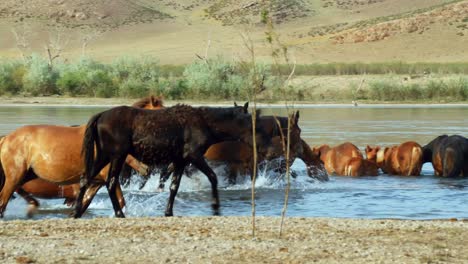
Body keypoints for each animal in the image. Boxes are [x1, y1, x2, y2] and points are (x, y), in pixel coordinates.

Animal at [0, 96, 164, 218]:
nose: (147, 169)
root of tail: (6, 138)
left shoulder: (95, 184)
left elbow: (83, 206)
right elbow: (119, 201)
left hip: (25, 177)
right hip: (15, 177)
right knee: (3, 201)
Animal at [75, 102, 262, 217]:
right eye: (249, 121)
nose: (258, 142)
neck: (204, 122)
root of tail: (100, 115)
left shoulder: (180, 161)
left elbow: (173, 187)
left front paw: (168, 212)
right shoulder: (194, 156)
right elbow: (213, 177)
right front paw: (215, 207)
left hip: (104, 156)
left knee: (86, 179)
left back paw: (77, 212)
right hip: (117, 156)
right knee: (111, 182)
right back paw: (119, 214)